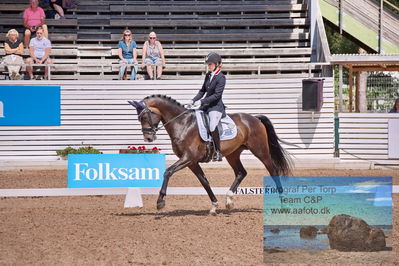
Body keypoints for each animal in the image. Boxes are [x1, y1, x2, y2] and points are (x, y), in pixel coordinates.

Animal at [130, 94, 292, 215]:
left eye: (144, 117)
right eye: (139, 118)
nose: (148, 138)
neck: (182, 124)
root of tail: (255, 118)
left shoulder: (188, 158)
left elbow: (168, 172)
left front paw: (160, 202)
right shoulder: (192, 162)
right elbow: (204, 182)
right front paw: (214, 206)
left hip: (260, 151)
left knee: (273, 171)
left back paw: (283, 204)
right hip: (233, 154)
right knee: (241, 172)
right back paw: (229, 201)